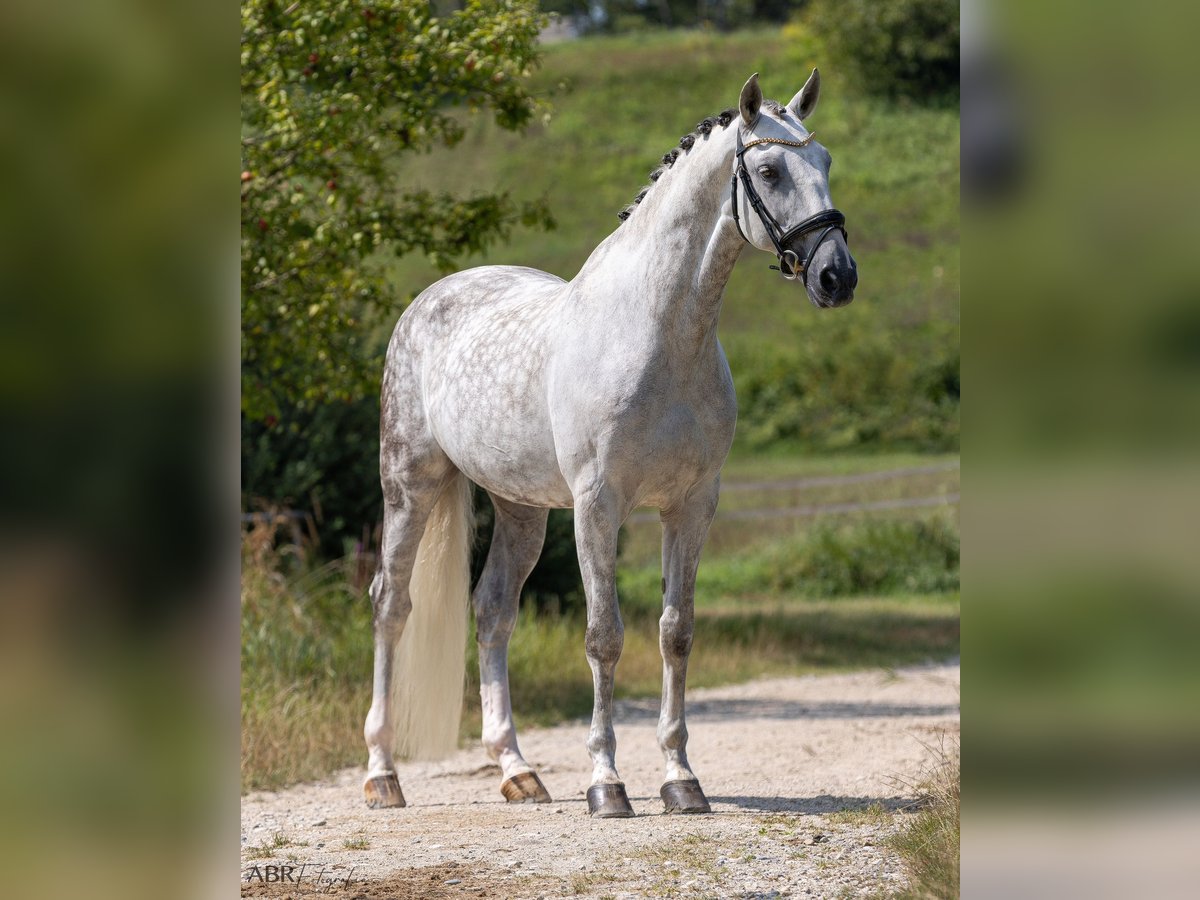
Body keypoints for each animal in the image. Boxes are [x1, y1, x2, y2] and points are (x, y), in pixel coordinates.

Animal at [360, 70, 859, 816]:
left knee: (493, 610)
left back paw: (517, 771)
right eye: (769, 170)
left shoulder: (691, 506)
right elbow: (604, 637)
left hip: (521, 509)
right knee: (391, 603)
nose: (837, 277)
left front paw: (681, 778)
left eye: (824, 162)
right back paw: (382, 775)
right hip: (410, 484)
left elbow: (676, 633)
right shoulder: (599, 506)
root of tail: (431, 298)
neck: (659, 336)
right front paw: (607, 784)